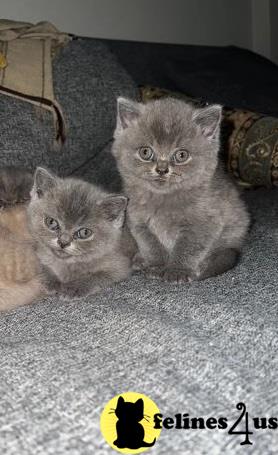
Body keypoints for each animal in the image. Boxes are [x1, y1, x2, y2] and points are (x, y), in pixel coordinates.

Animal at [27, 167, 135, 300]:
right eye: (51, 222)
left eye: (84, 232)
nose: (63, 242)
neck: (68, 263)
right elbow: (44, 263)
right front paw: (51, 280)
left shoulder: (121, 266)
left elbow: (97, 276)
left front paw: (73, 288)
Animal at [112, 96, 251, 284]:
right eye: (145, 152)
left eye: (181, 155)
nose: (162, 169)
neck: (163, 198)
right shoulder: (138, 220)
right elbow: (150, 244)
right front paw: (157, 266)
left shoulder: (205, 223)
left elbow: (189, 246)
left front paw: (178, 271)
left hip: (234, 227)